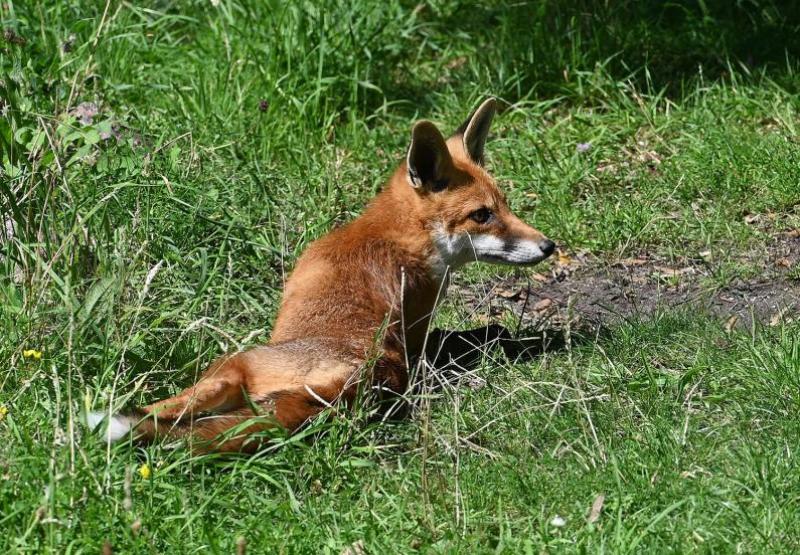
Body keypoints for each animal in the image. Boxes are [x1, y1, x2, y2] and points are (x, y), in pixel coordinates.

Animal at [88, 98, 556, 452]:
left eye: (504, 206)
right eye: (483, 215)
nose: (549, 246)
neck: (395, 236)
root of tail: (354, 377)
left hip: (227, 369)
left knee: (159, 413)